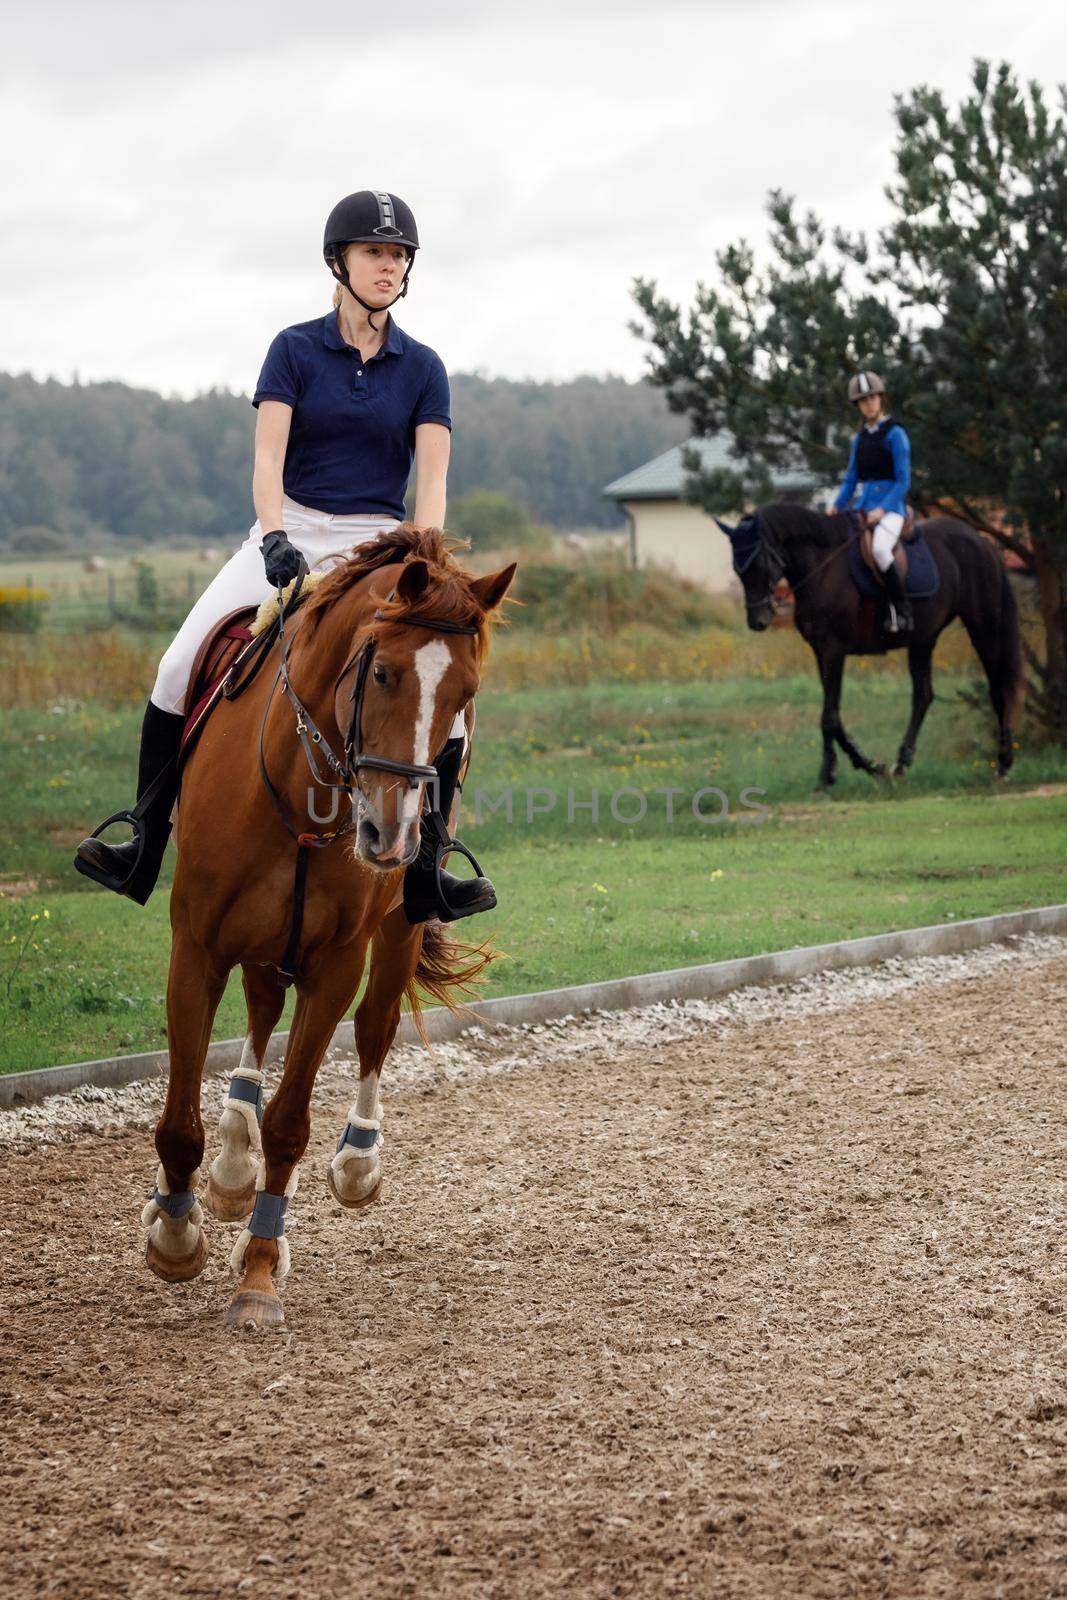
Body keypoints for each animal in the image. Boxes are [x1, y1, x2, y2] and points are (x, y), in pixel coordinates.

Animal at [141, 524, 518, 1324]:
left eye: (464, 698)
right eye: (385, 675)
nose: (390, 836)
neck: (300, 785)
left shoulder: (336, 962)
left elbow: (290, 1122)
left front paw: (257, 1272)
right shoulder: (196, 948)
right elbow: (180, 1120)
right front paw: (176, 1236)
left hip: (396, 924)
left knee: (375, 1026)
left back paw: (354, 1161)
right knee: (259, 1011)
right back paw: (228, 1165)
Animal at [716, 505, 1023, 787]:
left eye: (760, 563)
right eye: (737, 569)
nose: (757, 621)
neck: (822, 568)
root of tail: (980, 540)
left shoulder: (833, 649)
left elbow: (829, 716)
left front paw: (832, 773)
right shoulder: (820, 651)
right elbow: (834, 716)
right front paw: (866, 765)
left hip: (982, 627)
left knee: (998, 689)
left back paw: (1003, 764)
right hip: (923, 638)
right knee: (923, 696)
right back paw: (900, 764)